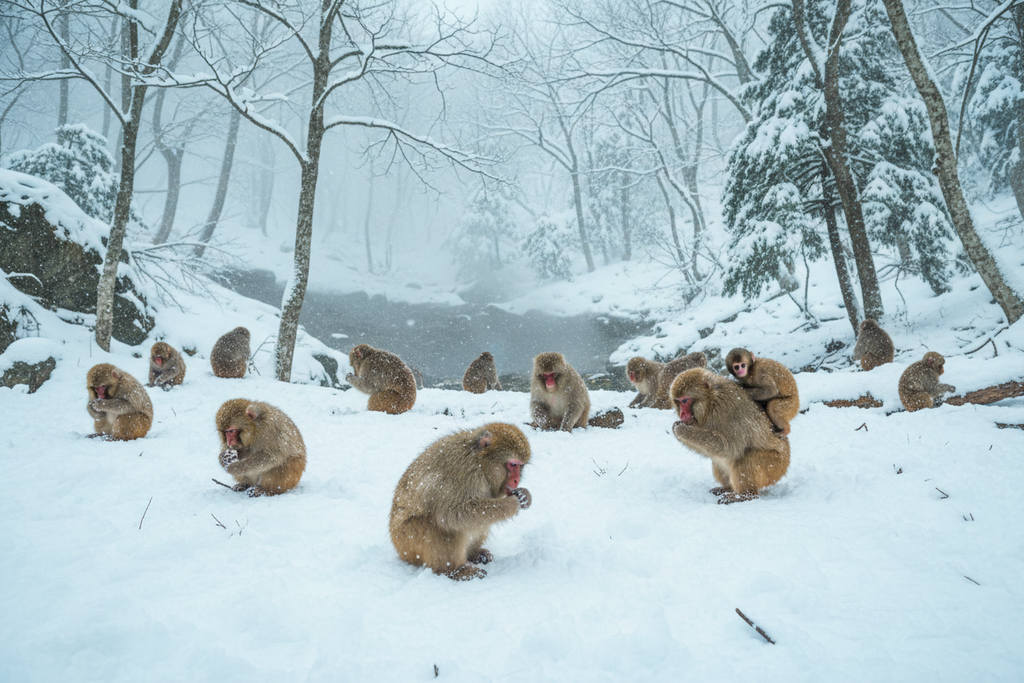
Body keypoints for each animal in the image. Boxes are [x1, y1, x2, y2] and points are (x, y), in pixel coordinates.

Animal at [389, 422, 532, 580]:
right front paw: (513, 503)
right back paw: (455, 570)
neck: (480, 462)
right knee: (440, 525)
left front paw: (525, 496)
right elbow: (452, 514)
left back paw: (474, 554)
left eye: (521, 466)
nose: (516, 480)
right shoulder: (463, 471)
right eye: (513, 464)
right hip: (408, 539)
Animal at [669, 368, 790, 504]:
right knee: (717, 460)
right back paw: (728, 489)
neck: (710, 402)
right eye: (678, 402)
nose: (682, 414)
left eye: (685, 400)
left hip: (775, 466)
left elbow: (729, 448)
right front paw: (677, 427)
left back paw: (744, 495)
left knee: (747, 457)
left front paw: (681, 429)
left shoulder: (725, 408)